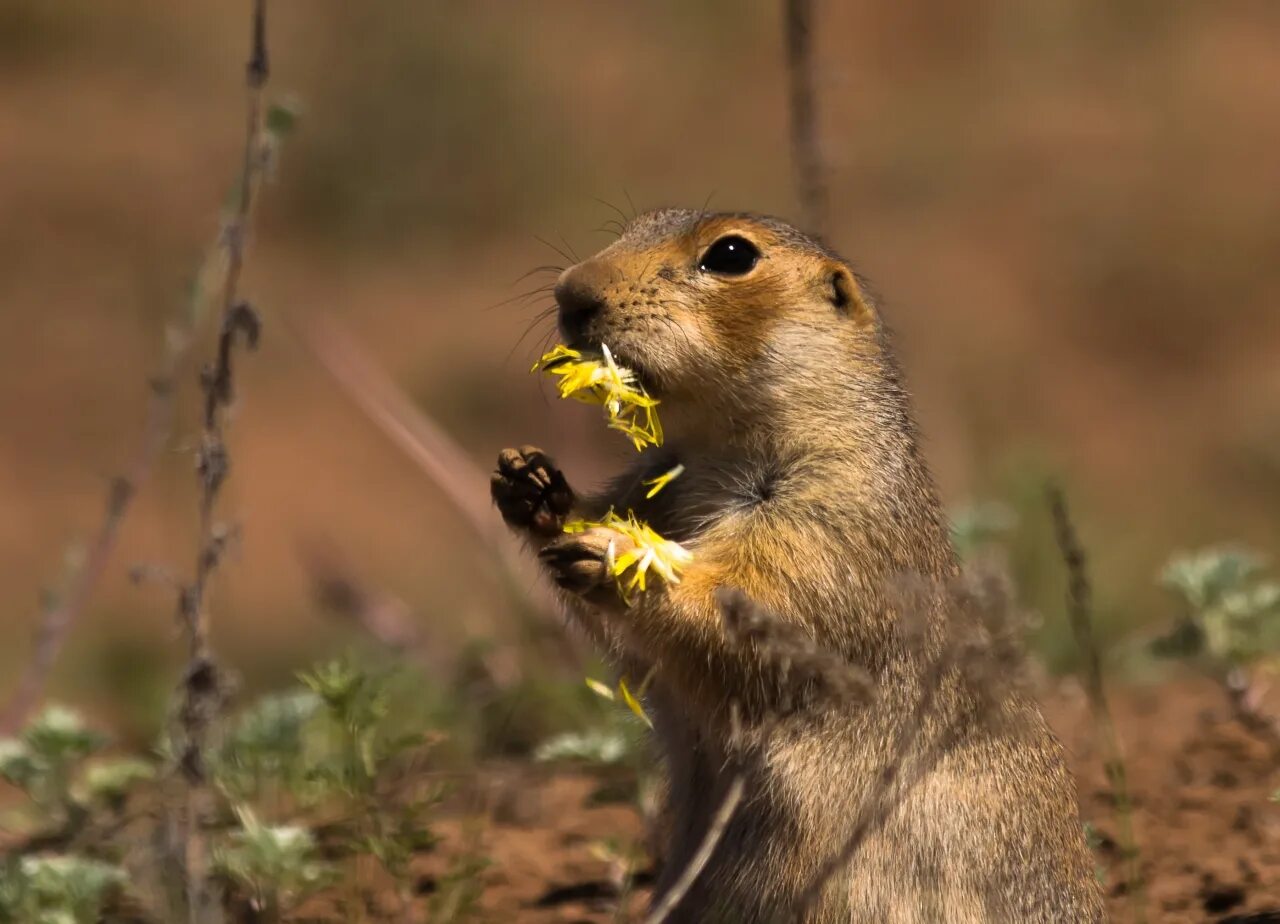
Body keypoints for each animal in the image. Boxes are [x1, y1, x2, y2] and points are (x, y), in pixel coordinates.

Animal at [488, 211, 1100, 921]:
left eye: (731, 254)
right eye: (636, 224)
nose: (570, 292)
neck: (715, 450)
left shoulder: (827, 525)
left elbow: (756, 610)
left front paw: (618, 554)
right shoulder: (654, 484)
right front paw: (531, 485)